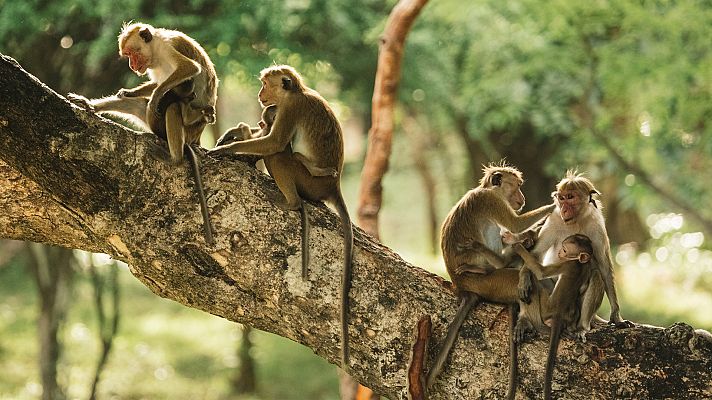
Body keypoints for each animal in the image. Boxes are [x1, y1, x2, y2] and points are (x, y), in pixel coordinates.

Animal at [67, 22, 218, 245]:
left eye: (132, 53)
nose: (131, 65)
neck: (155, 50)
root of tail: (197, 138)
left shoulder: (167, 46)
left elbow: (189, 68)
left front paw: (156, 95)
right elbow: (149, 86)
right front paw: (130, 92)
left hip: (188, 130)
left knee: (173, 108)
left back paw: (174, 158)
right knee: (136, 105)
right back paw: (92, 106)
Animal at [207, 65, 353, 369]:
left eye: (265, 84)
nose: (259, 94)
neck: (297, 92)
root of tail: (333, 186)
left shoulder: (290, 109)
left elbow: (274, 141)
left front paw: (225, 149)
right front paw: (236, 134)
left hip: (309, 181)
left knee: (279, 154)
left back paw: (291, 201)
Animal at [426, 163, 555, 390]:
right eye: (517, 186)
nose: (522, 198)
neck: (489, 190)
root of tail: (462, 286)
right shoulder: (490, 200)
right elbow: (515, 224)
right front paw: (556, 204)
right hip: (490, 282)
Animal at [513, 234, 595, 400]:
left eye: (565, 249)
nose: (559, 253)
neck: (577, 262)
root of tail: (558, 314)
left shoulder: (566, 264)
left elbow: (541, 272)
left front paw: (518, 247)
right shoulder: (586, 268)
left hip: (545, 309)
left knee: (535, 281)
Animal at [516, 170, 633, 339]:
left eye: (570, 197)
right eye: (561, 198)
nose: (564, 209)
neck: (576, 219)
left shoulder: (597, 224)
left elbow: (603, 266)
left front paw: (617, 317)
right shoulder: (554, 220)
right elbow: (536, 255)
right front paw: (524, 276)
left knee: (596, 275)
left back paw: (582, 327)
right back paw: (526, 318)